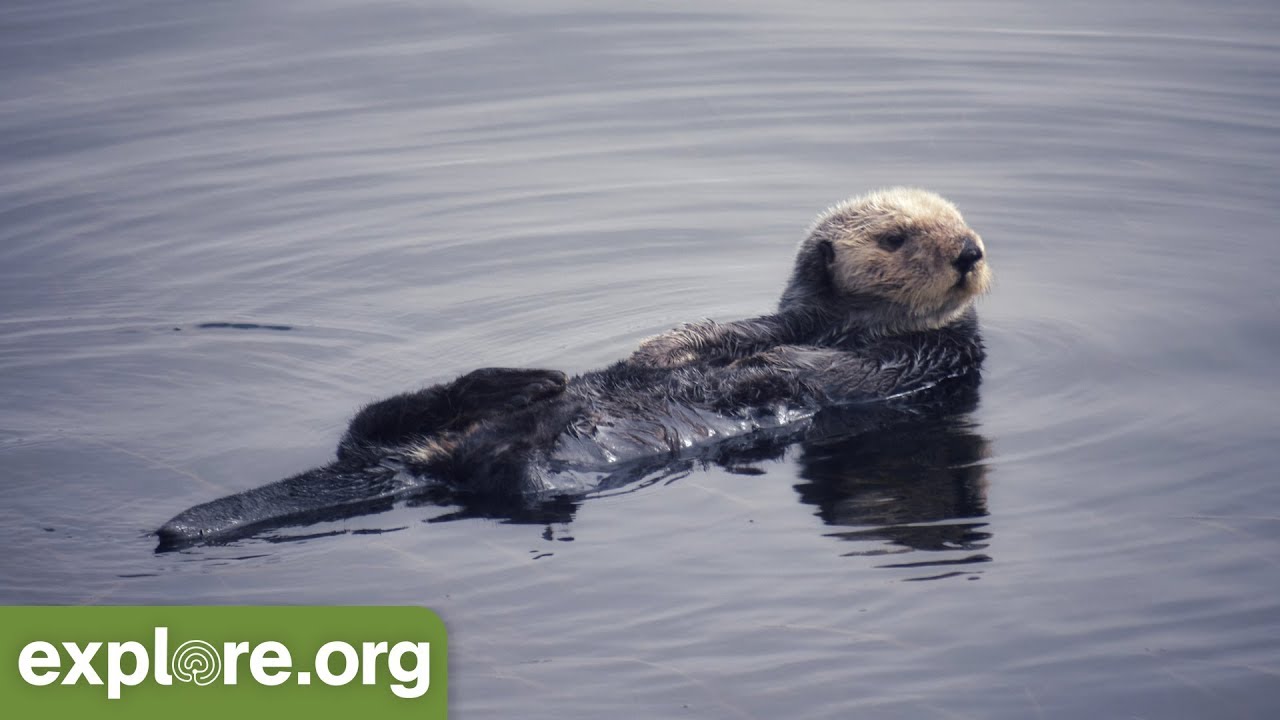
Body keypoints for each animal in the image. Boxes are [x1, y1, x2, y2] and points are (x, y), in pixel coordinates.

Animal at [156, 188, 991, 548]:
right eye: (895, 236)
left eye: (957, 222)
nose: (969, 251)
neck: (847, 325)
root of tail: (421, 461)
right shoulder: (782, 316)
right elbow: (719, 332)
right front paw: (661, 355)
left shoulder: (931, 359)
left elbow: (827, 370)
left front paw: (765, 370)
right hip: (415, 434)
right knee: (379, 422)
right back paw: (526, 383)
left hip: (524, 471)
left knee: (508, 477)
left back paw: (539, 412)